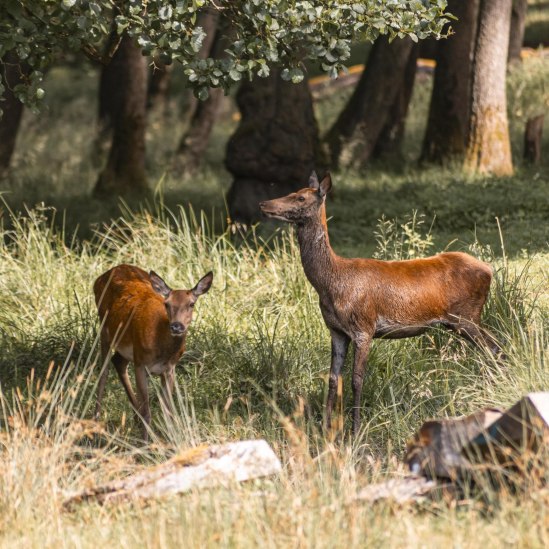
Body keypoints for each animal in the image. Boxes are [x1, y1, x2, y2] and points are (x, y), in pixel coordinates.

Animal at [92, 266, 212, 440]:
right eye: (167, 304)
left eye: (191, 304)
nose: (177, 326)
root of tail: (101, 276)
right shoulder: (140, 363)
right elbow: (147, 411)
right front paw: (146, 442)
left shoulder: (169, 369)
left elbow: (168, 411)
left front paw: (171, 438)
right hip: (105, 330)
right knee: (103, 372)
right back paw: (95, 422)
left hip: (127, 348)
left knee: (118, 361)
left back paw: (135, 419)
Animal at [260, 172, 504, 436]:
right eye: (294, 192)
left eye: (301, 197)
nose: (264, 204)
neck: (330, 283)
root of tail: (489, 269)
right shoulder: (336, 330)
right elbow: (333, 378)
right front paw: (325, 429)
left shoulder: (363, 327)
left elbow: (357, 379)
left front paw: (356, 430)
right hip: (460, 322)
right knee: (492, 349)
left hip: (468, 316)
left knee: (494, 348)